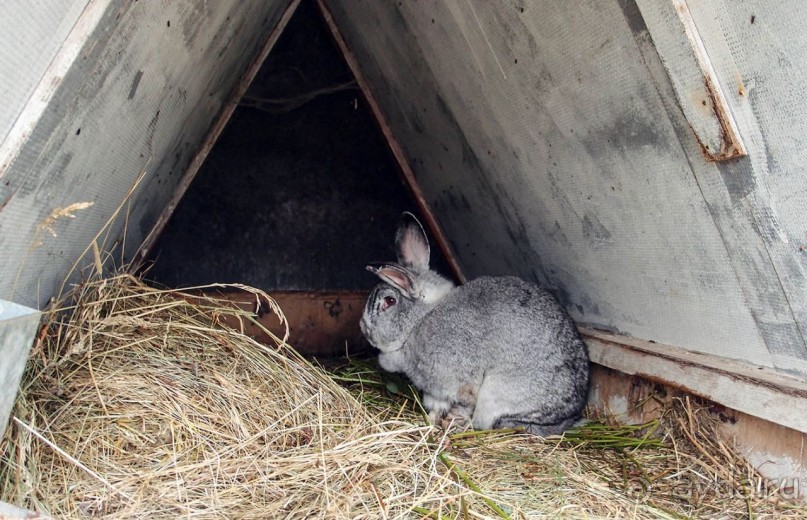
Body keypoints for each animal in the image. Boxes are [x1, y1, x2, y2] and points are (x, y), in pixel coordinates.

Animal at [362, 211, 592, 434]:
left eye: (389, 301)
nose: (363, 328)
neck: (421, 320)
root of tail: (567, 418)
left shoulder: (460, 380)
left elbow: (465, 403)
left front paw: (451, 422)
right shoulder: (435, 394)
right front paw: (431, 421)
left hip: (498, 396)